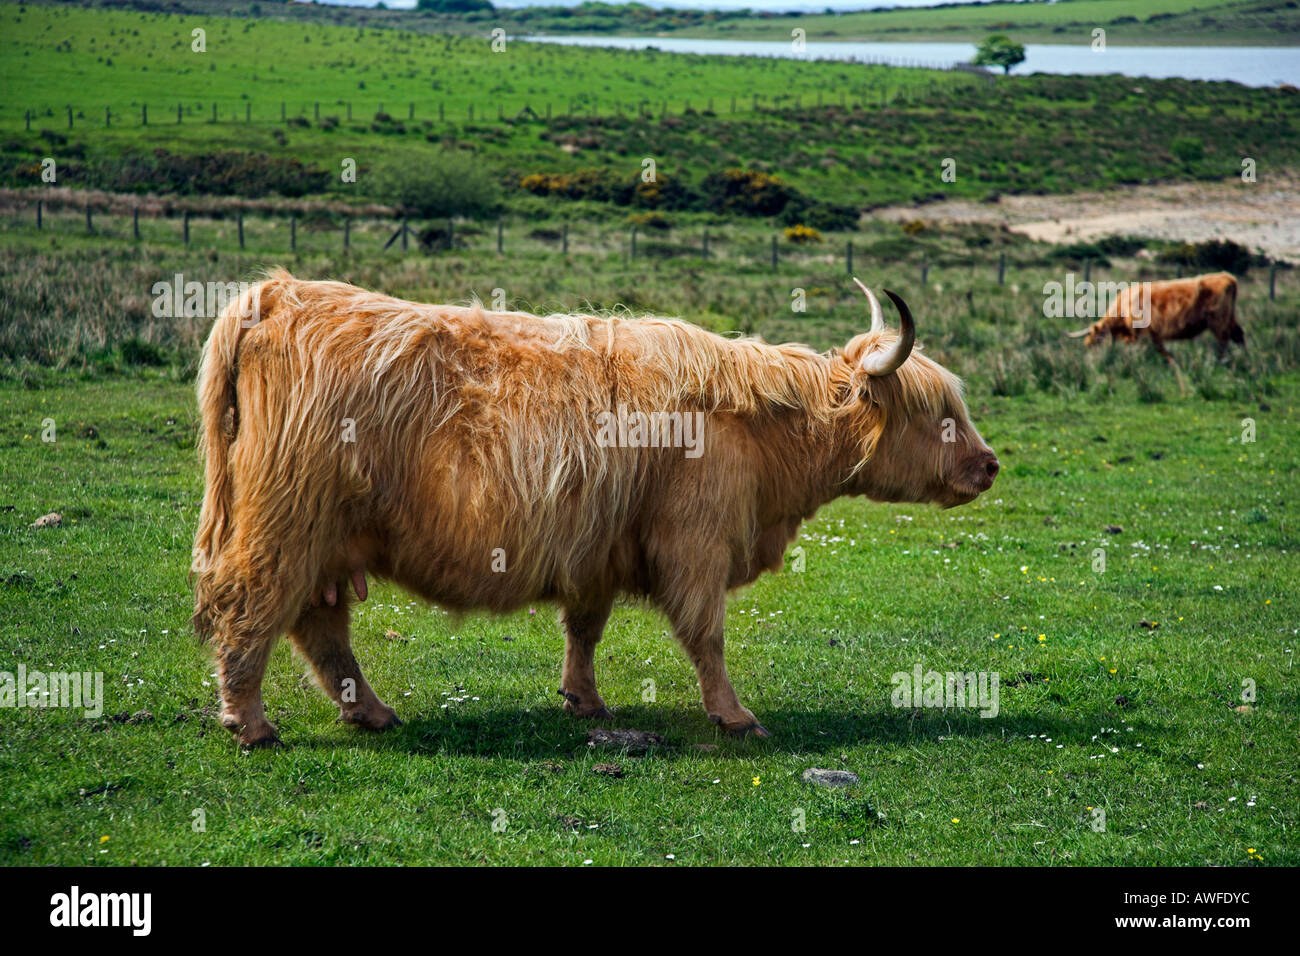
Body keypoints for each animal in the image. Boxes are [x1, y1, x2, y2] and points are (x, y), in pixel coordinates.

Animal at [192, 271, 999, 747]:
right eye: (938, 414)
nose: (989, 465)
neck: (764, 431)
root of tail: (276, 293)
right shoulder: (695, 544)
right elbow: (707, 636)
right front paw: (735, 715)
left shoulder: (597, 549)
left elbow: (585, 628)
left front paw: (583, 700)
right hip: (286, 522)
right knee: (253, 609)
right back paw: (251, 723)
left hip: (326, 540)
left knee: (319, 626)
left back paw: (371, 711)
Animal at [1067, 271, 1243, 364]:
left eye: (1096, 342)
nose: (1091, 361)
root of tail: (1226, 276)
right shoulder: (1152, 334)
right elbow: (1161, 350)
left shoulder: (1142, 333)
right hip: (1230, 318)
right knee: (1239, 335)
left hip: (1218, 321)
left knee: (1223, 340)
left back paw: (1219, 362)